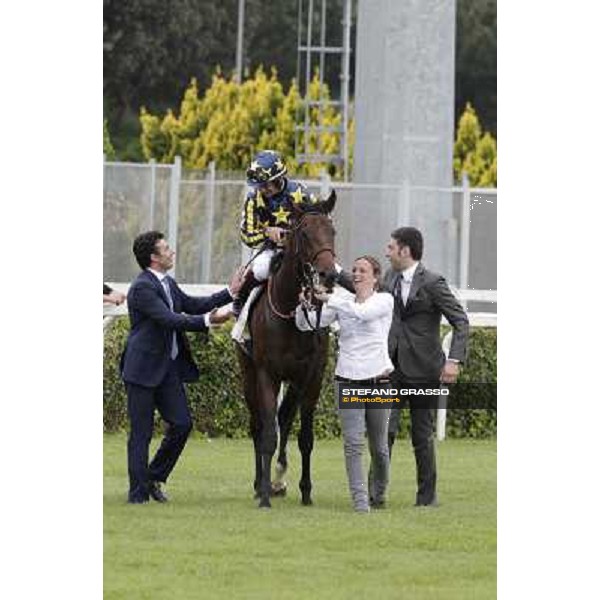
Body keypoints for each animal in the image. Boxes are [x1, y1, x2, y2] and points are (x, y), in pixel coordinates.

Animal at [236, 191, 338, 506]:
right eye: (304, 233)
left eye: (332, 231)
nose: (328, 275)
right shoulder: (267, 374)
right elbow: (268, 433)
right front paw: (264, 494)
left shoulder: (311, 377)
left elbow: (304, 437)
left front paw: (306, 492)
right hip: (248, 372)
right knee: (258, 424)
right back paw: (261, 483)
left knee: (284, 418)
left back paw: (278, 479)